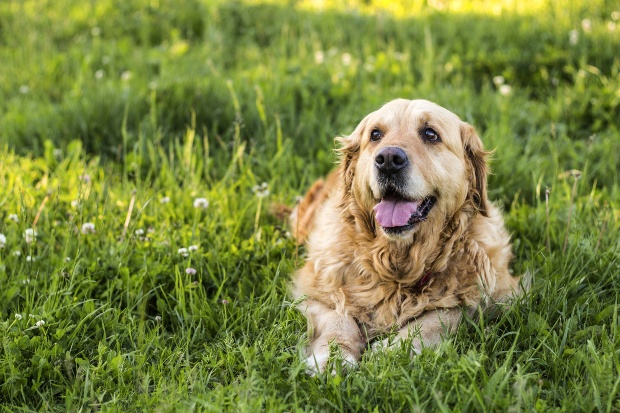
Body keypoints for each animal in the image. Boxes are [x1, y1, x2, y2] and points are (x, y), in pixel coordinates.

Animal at [290, 98, 524, 372]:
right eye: (375, 134)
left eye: (430, 134)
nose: (388, 159)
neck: (399, 264)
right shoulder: (313, 290)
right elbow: (338, 315)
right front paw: (334, 355)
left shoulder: (498, 296)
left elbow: (442, 316)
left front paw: (393, 350)